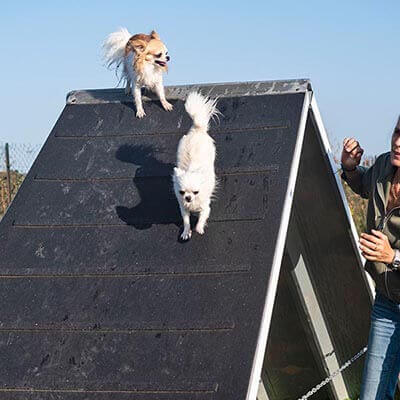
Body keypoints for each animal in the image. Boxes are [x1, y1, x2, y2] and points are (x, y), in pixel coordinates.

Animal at [172, 92, 219, 239]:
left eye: (196, 192)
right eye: (182, 192)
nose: (188, 197)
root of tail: (197, 129)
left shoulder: (206, 207)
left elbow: (202, 217)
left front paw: (198, 228)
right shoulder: (184, 208)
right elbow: (186, 220)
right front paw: (186, 232)